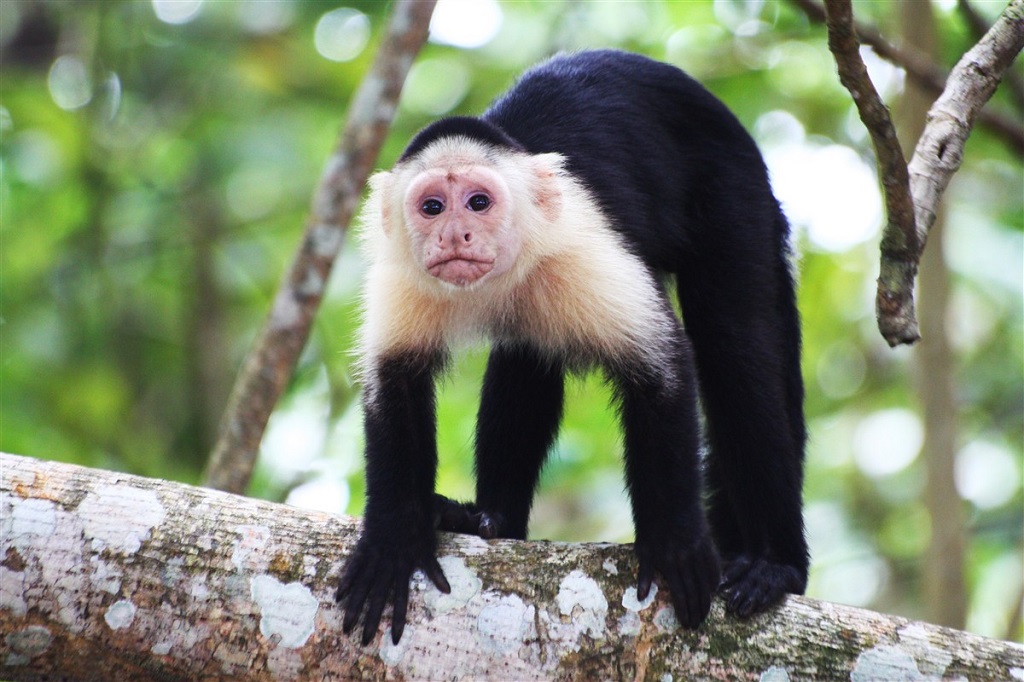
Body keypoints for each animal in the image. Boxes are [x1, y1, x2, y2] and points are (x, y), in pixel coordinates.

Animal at [339, 50, 811, 647]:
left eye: (477, 202)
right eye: (431, 207)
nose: (454, 236)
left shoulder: (581, 247)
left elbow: (662, 364)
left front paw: (675, 541)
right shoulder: (400, 276)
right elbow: (394, 385)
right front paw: (396, 537)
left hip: (733, 186)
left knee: (736, 346)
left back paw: (778, 564)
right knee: (524, 359)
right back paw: (494, 520)